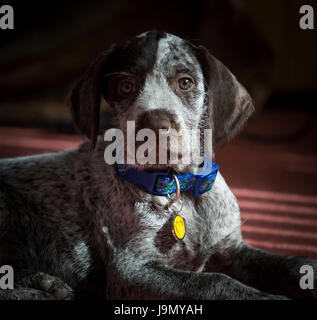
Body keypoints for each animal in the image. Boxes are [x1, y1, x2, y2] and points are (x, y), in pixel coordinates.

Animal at [0, 30, 316, 300]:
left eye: (185, 82)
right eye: (126, 86)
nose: (154, 125)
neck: (180, 189)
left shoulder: (231, 250)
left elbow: (292, 263)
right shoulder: (134, 271)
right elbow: (214, 282)